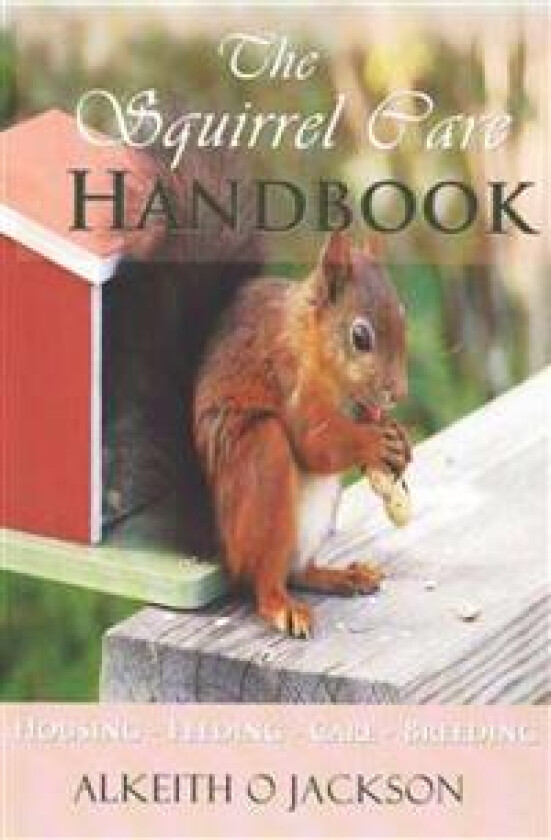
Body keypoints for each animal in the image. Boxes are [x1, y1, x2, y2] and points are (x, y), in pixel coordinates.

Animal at [105, 146, 411, 638]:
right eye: (360, 337)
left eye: (403, 317)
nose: (397, 393)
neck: (313, 342)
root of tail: (221, 543)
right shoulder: (289, 377)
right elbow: (315, 443)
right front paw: (373, 442)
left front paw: (398, 438)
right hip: (261, 466)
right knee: (264, 578)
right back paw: (282, 605)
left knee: (298, 571)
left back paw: (340, 576)